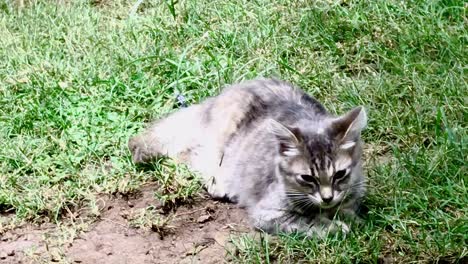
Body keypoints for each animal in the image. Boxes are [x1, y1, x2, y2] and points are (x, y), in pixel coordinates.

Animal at [130, 78, 368, 237]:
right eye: (307, 178)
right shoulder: (269, 213)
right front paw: (335, 226)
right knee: (193, 158)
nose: (327, 197)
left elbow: (349, 209)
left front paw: (348, 217)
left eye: (340, 174)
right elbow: (310, 221)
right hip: (218, 139)